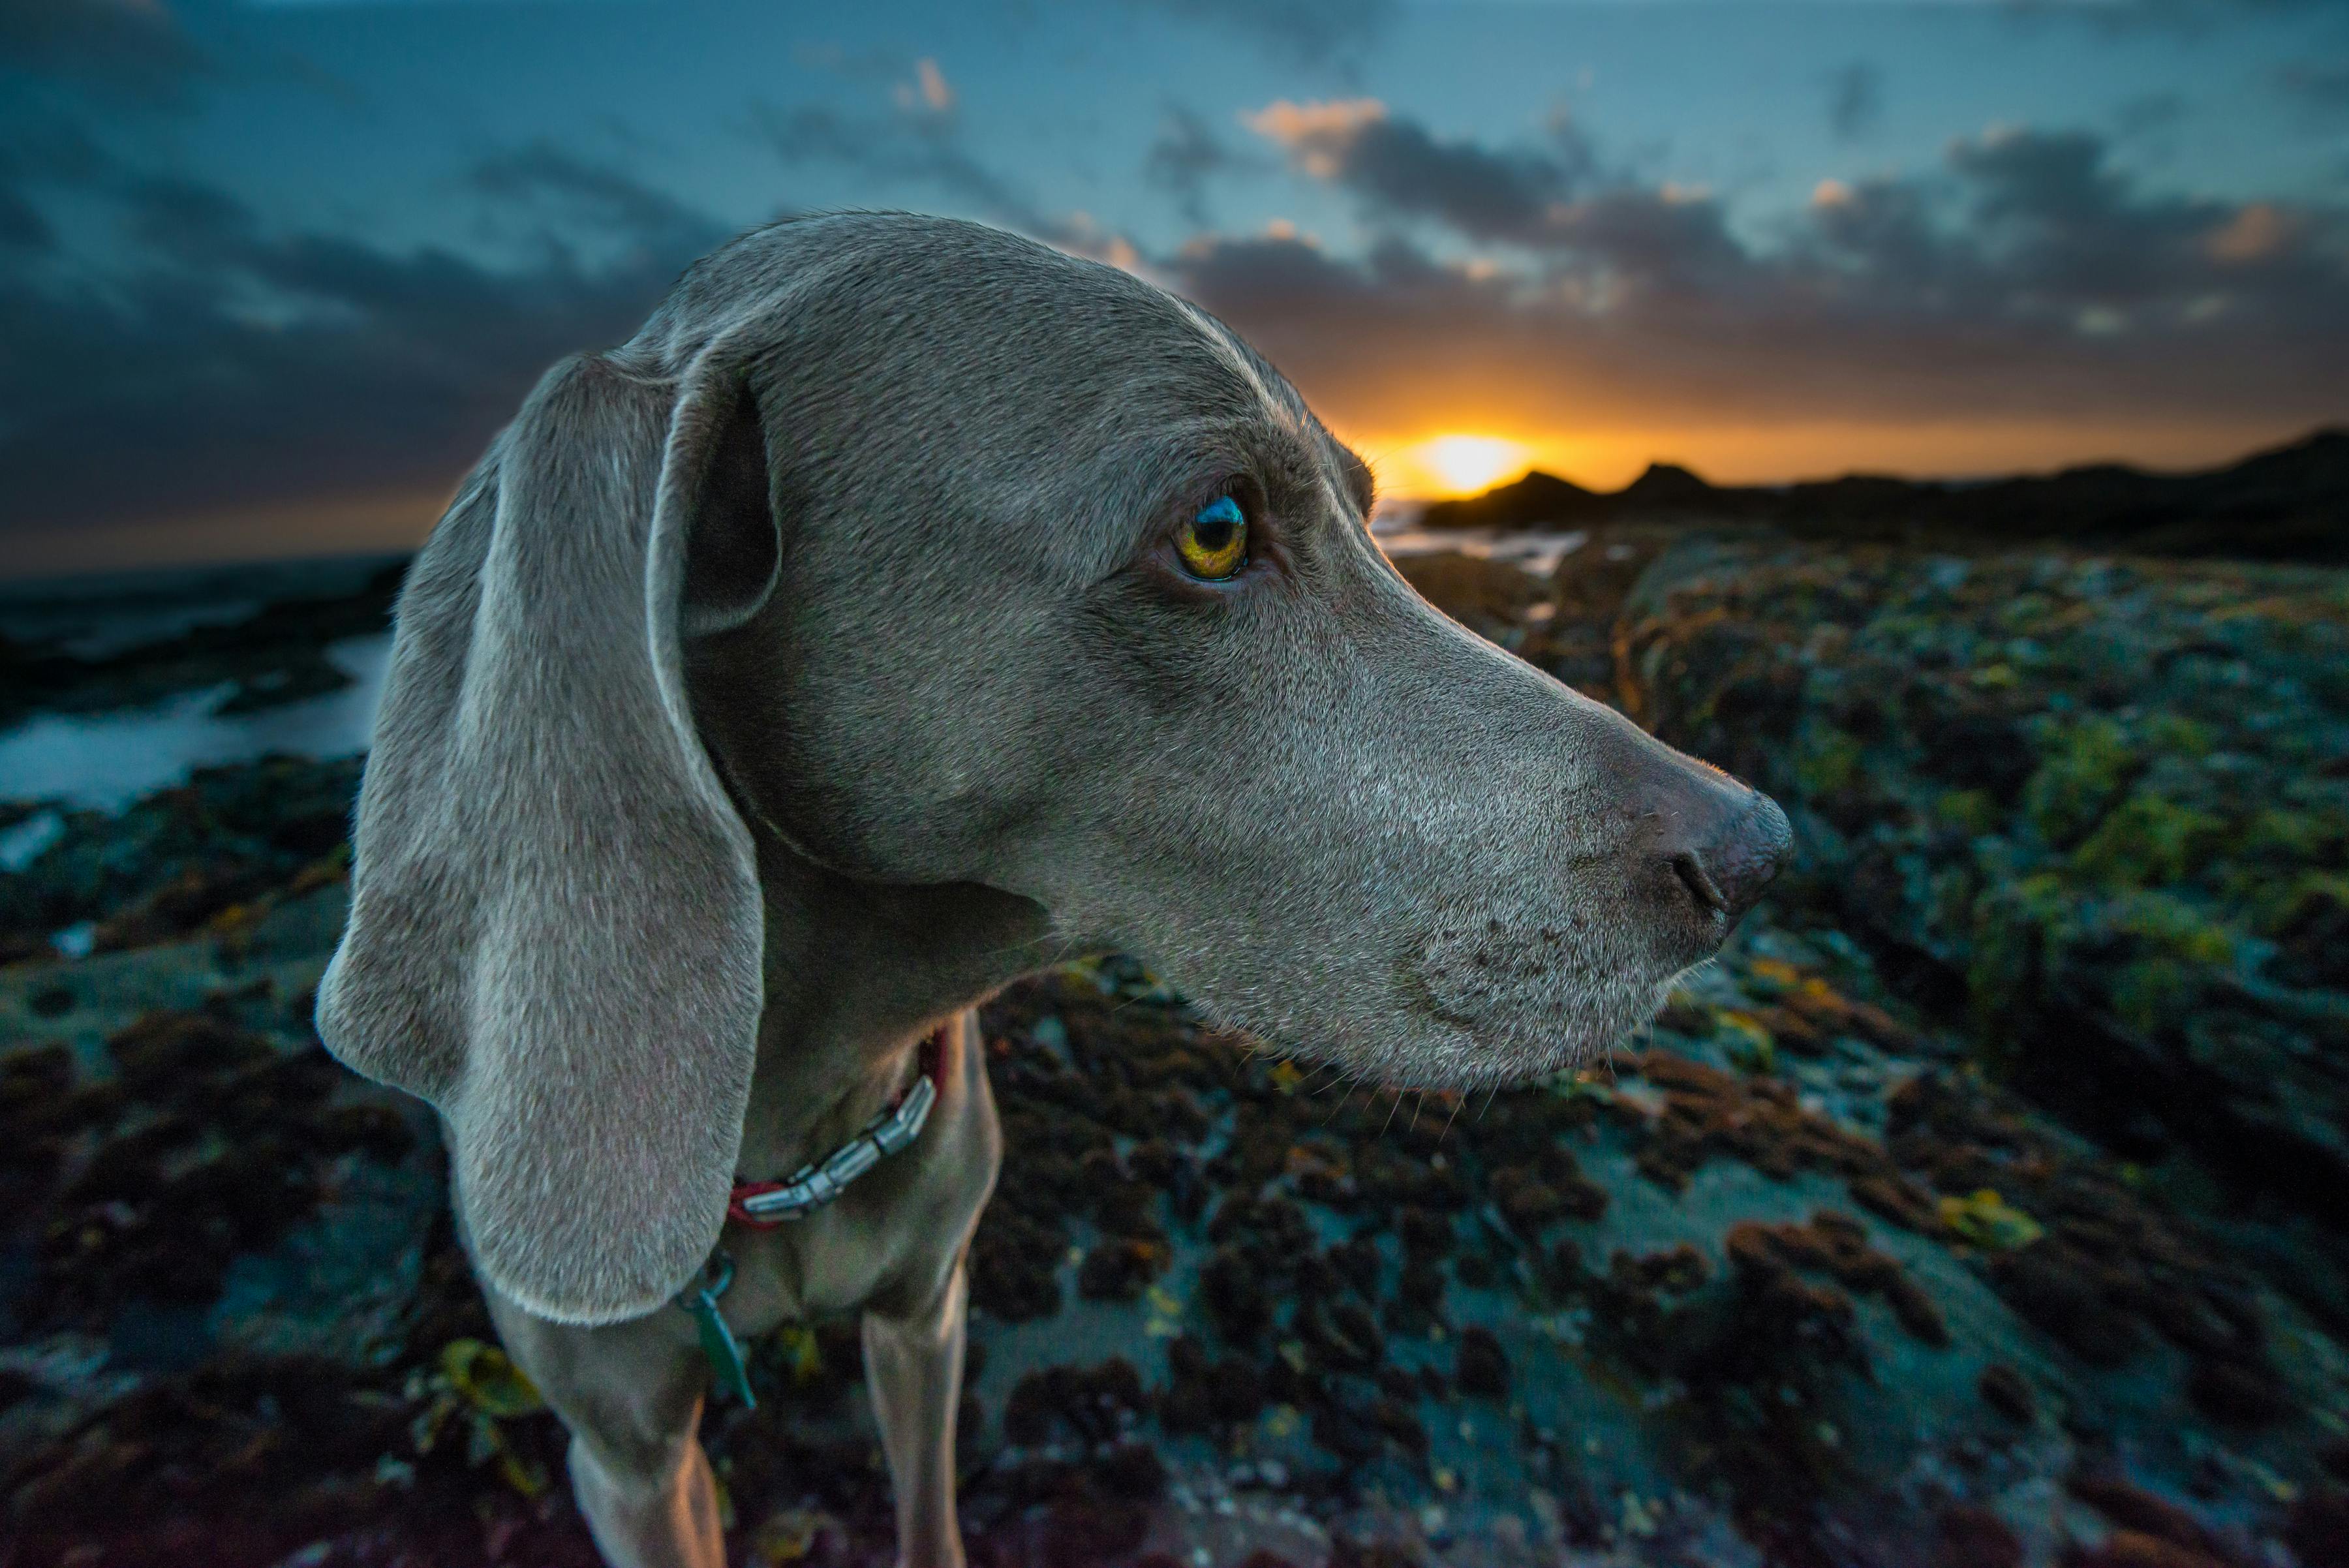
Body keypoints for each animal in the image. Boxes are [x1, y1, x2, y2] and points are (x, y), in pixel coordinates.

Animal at [312, 211, 1775, 1568]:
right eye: (1216, 530)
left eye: (1372, 514)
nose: (1758, 846)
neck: (797, 1132)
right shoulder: (629, 1458)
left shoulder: (928, 1314)